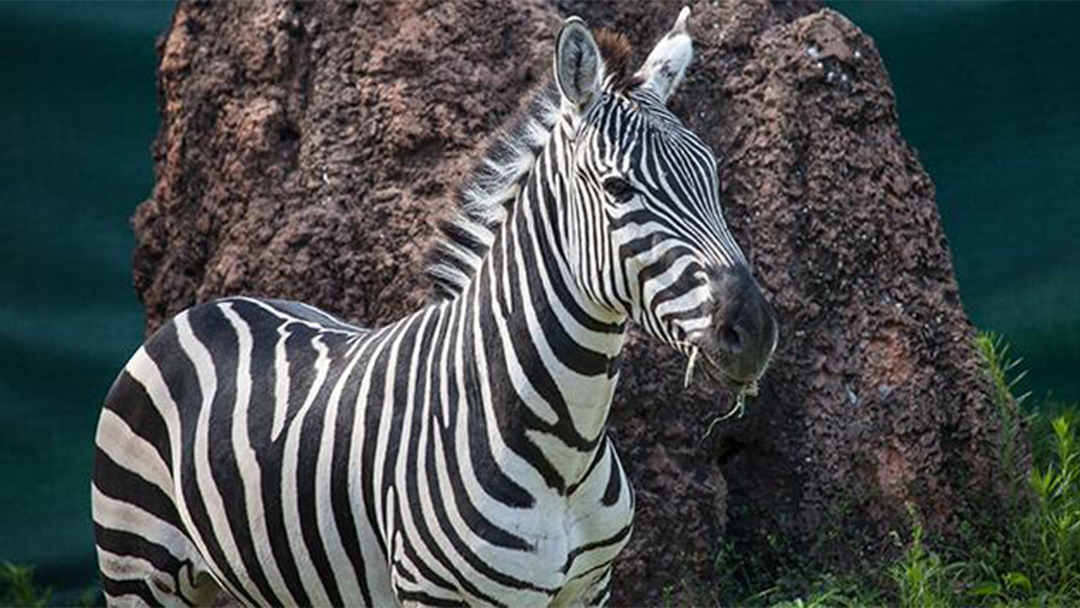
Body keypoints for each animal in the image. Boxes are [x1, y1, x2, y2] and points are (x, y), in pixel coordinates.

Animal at [92, 8, 777, 607]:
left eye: (713, 177)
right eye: (617, 187)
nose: (754, 331)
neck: (565, 447)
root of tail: (210, 307)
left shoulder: (590, 589)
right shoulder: (433, 594)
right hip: (137, 566)